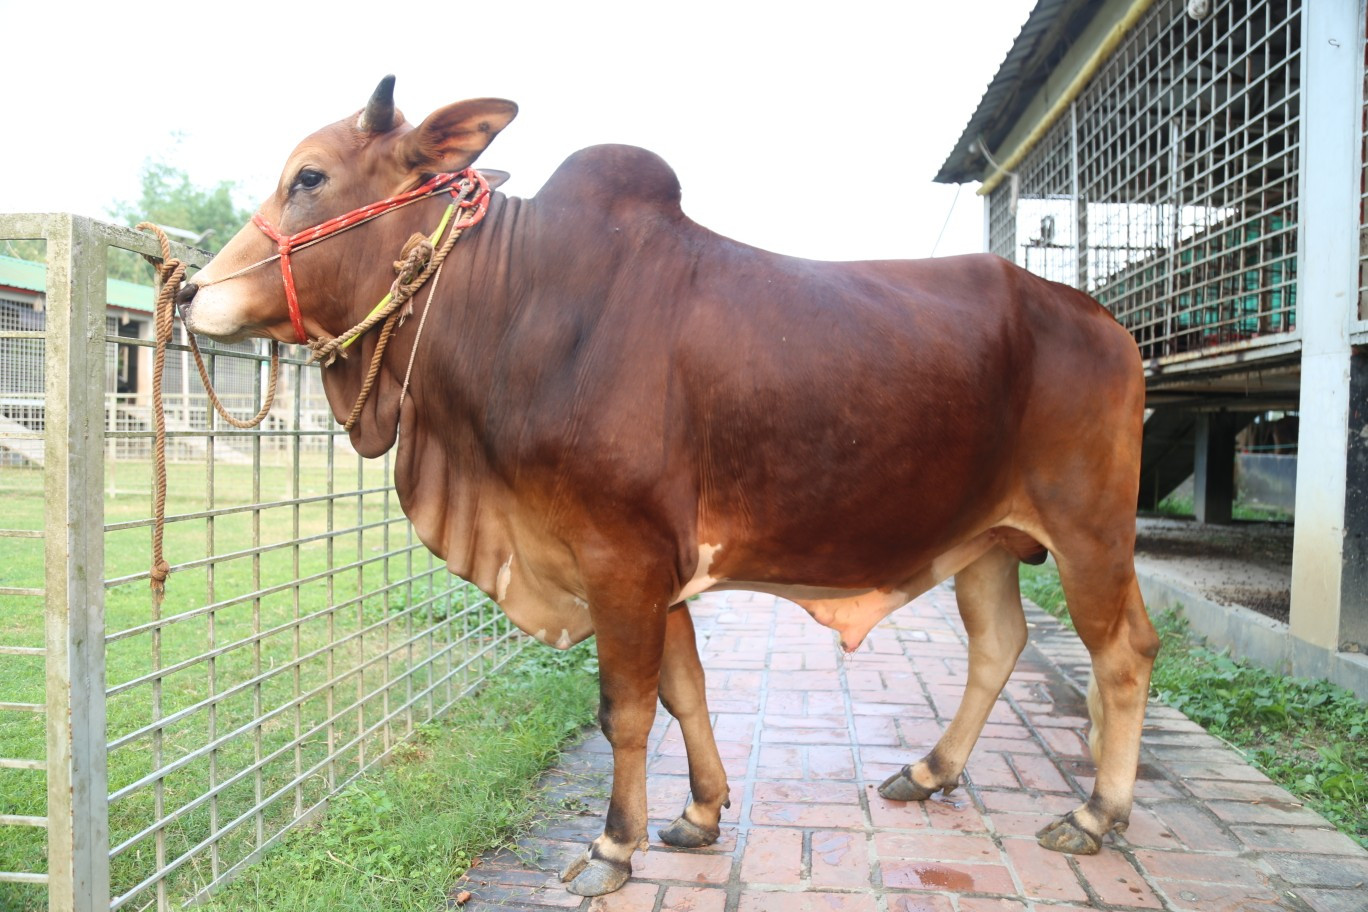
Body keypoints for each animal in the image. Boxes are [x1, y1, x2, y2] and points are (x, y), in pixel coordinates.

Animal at [179, 76, 1158, 897]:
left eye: (309, 176)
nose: (191, 290)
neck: (509, 307)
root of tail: (1104, 320)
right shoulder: (656, 569)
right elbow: (684, 690)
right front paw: (697, 813)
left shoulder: (620, 559)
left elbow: (626, 709)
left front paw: (615, 845)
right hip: (986, 539)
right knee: (1001, 644)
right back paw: (929, 771)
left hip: (1090, 530)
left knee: (1123, 654)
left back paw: (1094, 814)